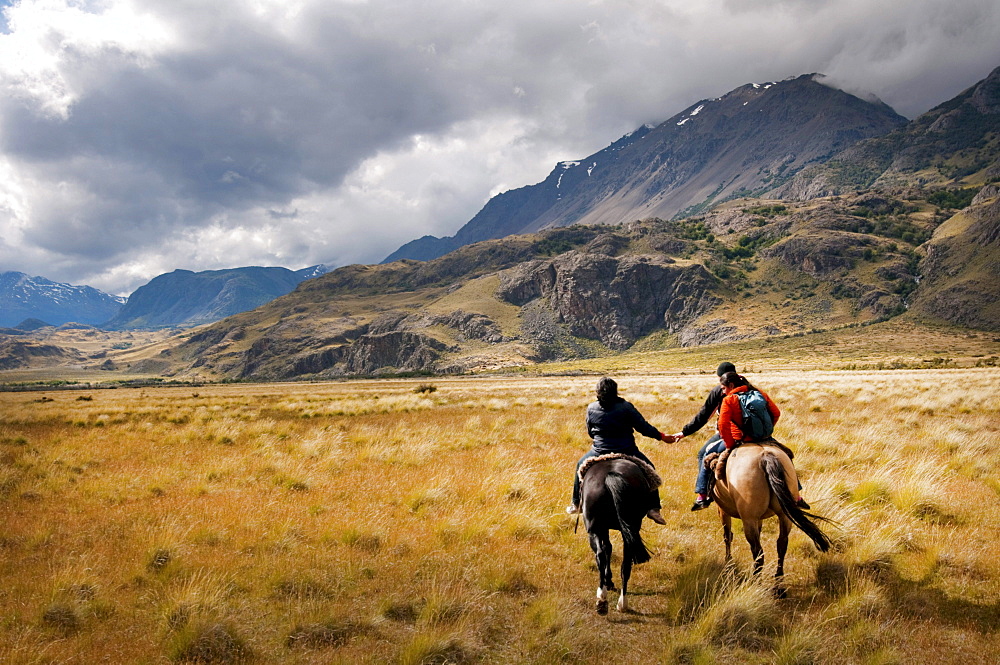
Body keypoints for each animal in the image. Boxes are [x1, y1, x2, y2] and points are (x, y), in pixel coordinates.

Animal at [580, 456, 656, 612]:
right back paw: (620, 603)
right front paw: (609, 581)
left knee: (600, 555)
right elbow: (608, 548)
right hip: (629, 529)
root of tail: (611, 476)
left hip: (594, 529)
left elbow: (606, 549)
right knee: (625, 563)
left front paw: (608, 581)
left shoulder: (600, 529)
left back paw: (603, 596)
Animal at [708, 440, 832, 588]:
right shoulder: (759, 518)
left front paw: (728, 562)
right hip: (783, 515)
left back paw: (756, 582)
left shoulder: (723, 510)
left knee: (758, 551)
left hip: (749, 519)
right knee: (782, 544)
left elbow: (727, 536)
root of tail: (765, 457)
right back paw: (779, 583)